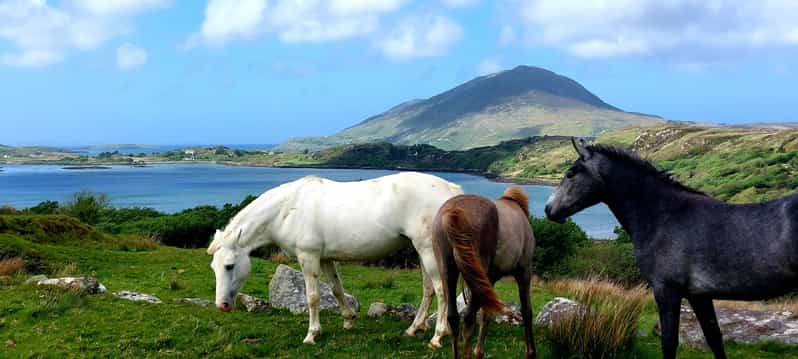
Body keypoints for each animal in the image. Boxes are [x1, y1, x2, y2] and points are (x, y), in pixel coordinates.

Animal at [209, 173, 466, 348]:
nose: (222, 305)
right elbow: (336, 289)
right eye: (214, 267)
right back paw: (413, 329)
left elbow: (313, 297)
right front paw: (349, 320)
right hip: (422, 251)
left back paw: (437, 336)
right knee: (428, 290)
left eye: (229, 266)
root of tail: (450, 189)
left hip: (428, 250)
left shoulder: (308, 257)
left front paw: (312, 334)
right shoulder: (325, 258)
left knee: (441, 290)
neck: (288, 209)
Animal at [434, 187, 540, 358]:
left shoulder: (489, 280)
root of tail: (454, 212)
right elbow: (527, 312)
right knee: (468, 320)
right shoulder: (524, 272)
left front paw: (479, 352)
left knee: (453, 318)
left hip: (448, 273)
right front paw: (531, 352)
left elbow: (486, 314)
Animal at [548, 138, 798, 359]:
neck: (664, 215)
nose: (549, 209)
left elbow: (669, 342)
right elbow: (714, 338)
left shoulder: (666, 291)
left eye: (571, 173)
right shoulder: (699, 295)